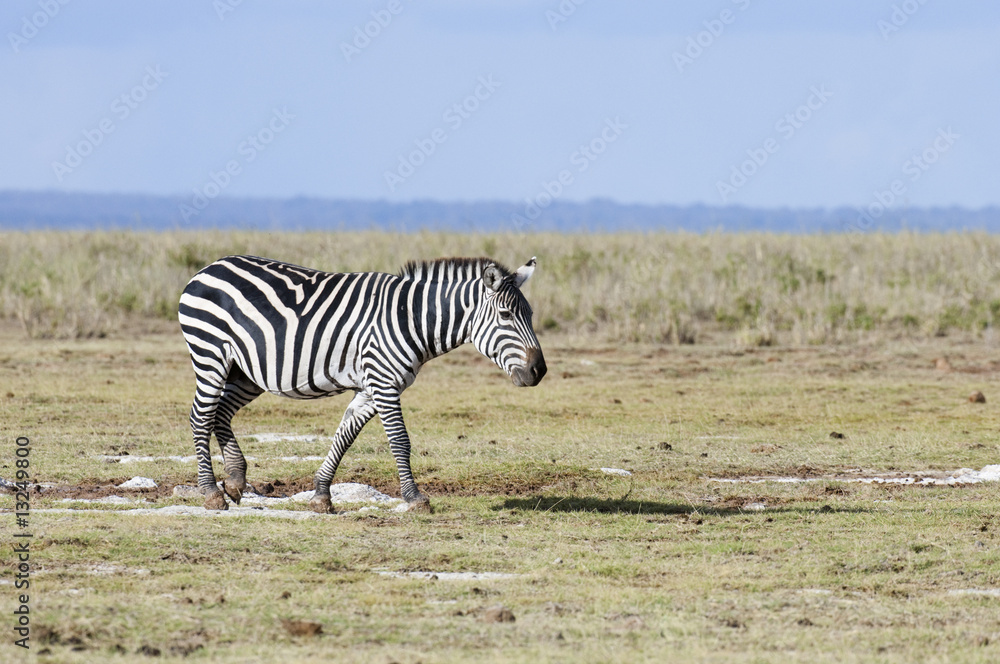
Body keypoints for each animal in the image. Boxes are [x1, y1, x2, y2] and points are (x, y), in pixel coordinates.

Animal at [178, 254, 546, 513]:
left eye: (530, 315)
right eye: (506, 316)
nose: (539, 371)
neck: (411, 319)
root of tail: (209, 267)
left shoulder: (371, 388)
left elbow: (344, 436)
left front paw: (321, 496)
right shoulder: (383, 383)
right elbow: (400, 441)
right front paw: (415, 498)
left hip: (246, 370)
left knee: (221, 413)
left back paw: (235, 480)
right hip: (211, 354)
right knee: (201, 417)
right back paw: (211, 493)